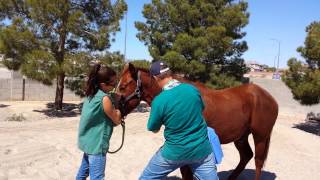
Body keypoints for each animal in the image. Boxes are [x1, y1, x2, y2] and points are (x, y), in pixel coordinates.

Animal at [117, 63, 278, 180]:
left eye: (123, 86)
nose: (115, 109)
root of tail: (269, 97)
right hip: (241, 137)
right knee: (246, 156)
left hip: (260, 136)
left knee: (258, 161)